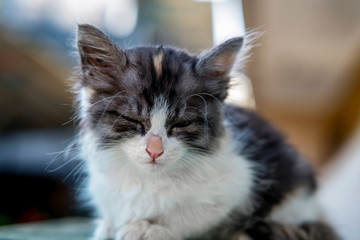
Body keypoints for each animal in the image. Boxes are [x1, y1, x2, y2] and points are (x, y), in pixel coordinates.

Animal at [74, 24, 340, 240]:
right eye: (131, 119)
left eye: (183, 123)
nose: (155, 151)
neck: (149, 178)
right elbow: (113, 213)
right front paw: (110, 226)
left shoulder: (240, 183)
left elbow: (191, 215)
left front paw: (148, 228)